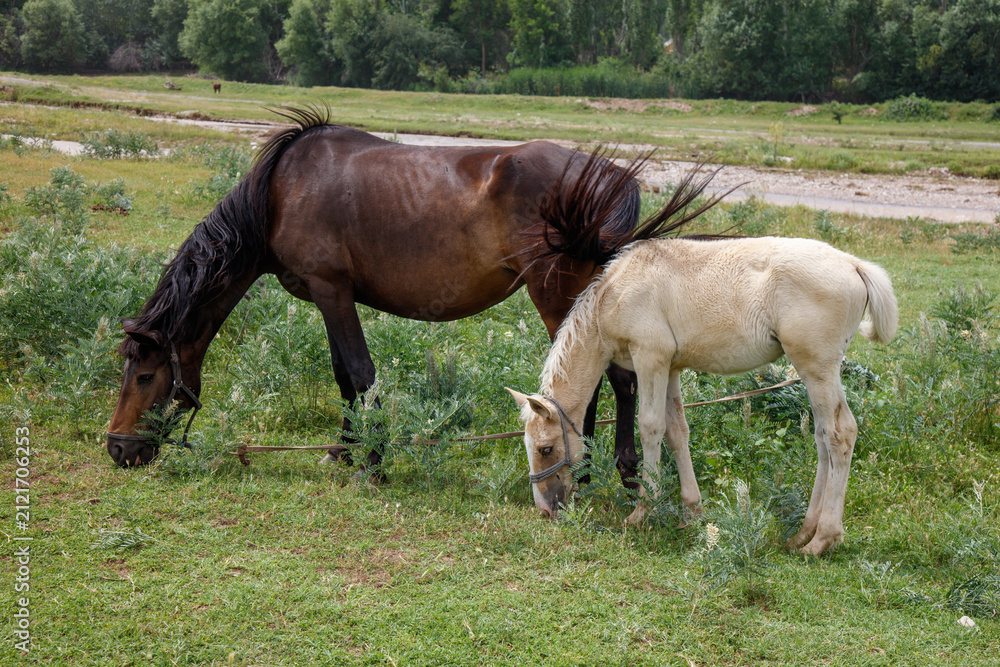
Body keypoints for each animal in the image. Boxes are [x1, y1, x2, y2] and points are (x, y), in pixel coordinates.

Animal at [106, 106, 708, 479]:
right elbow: (342, 376)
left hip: (558, 294)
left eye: (145, 375)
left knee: (613, 380)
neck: (279, 192)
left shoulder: (331, 290)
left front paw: (373, 460)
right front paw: (346, 450)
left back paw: (603, 472)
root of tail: (610, 177)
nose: (117, 448)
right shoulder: (332, 297)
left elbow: (359, 372)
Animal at [507, 208, 897, 556]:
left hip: (817, 367)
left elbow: (650, 427)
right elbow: (676, 431)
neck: (614, 294)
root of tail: (854, 264)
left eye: (546, 449)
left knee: (840, 434)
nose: (545, 510)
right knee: (821, 436)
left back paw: (822, 539)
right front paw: (690, 512)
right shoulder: (670, 368)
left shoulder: (650, 358)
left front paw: (642, 512)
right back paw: (803, 532)